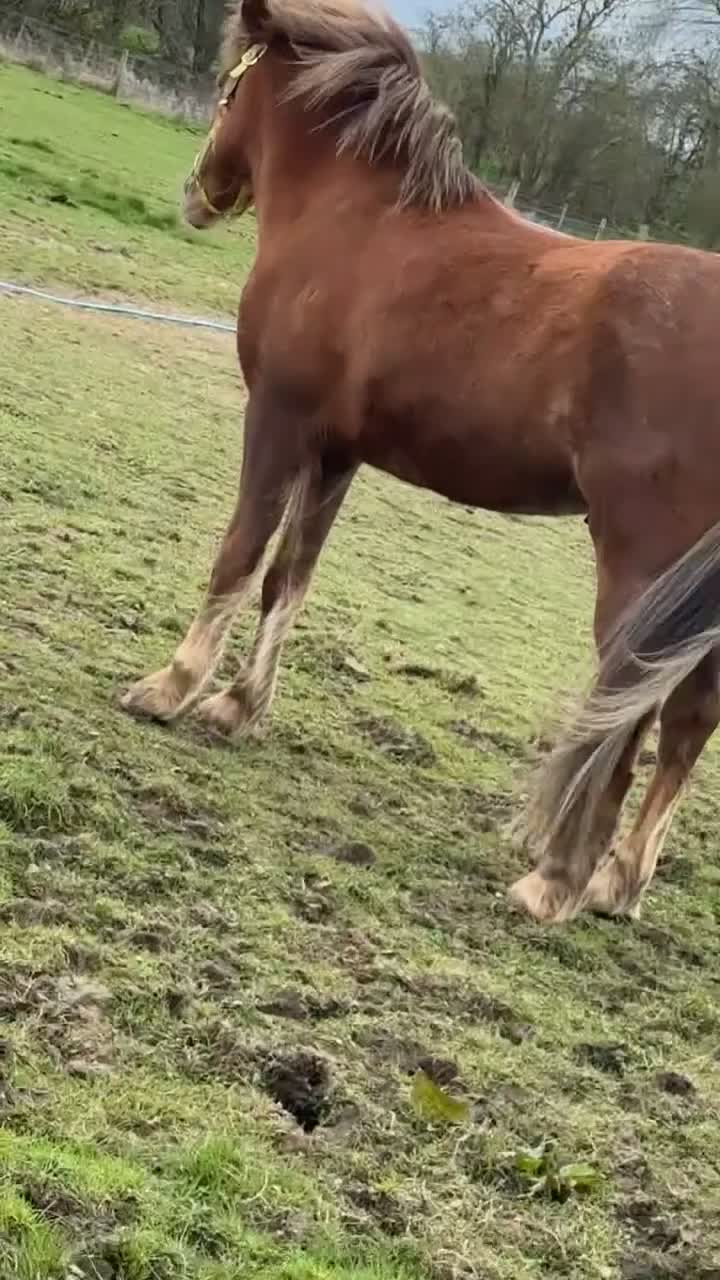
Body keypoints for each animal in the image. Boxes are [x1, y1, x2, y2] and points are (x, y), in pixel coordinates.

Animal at [122, 0, 720, 926]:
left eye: (228, 84)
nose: (200, 193)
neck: (358, 215)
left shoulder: (278, 425)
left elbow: (239, 555)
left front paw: (171, 686)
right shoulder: (337, 454)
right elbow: (288, 578)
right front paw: (238, 706)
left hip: (643, 574)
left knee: (628, 718)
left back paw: (555, 882)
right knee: (689, 723)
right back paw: (617, 885)